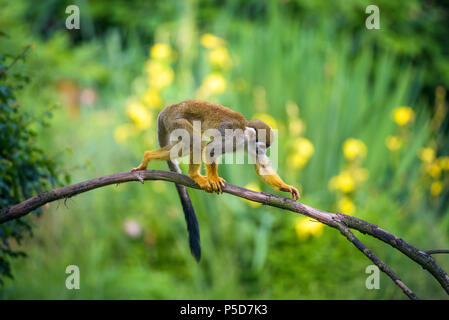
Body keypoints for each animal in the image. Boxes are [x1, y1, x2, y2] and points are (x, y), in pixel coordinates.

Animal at [130, 99, 298, 260]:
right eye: (261, 147)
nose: (261, 151)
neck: (244, 137)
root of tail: (168, 108)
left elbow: (262, 168)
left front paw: (286, 187)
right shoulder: (233, 138)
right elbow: (211, 148)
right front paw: (214, 178)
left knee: (184, 146)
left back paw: (148, 156)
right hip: (176, 121)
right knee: (197, 141)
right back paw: (193, 175)